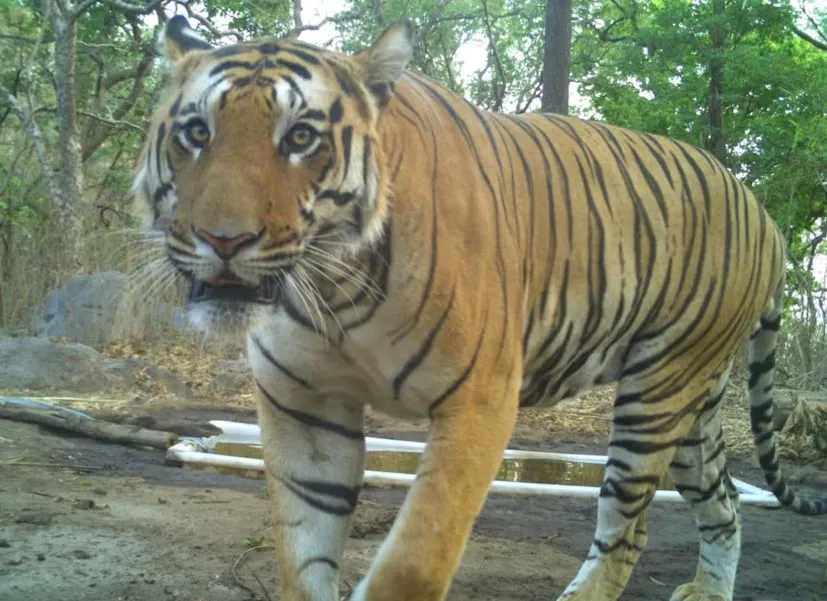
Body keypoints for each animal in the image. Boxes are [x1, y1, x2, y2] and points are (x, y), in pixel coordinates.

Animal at [131, 14, 827, 601]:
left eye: (300, 137)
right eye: (197, 133)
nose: (224, 240)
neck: (334, 292)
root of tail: (765, 215)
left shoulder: (479, 401)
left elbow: (414, 561)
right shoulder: (303, 403)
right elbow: (303, 557)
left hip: (658, 393)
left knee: (629, 528)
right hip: (695, 406)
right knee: (723, 504)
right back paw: (708, 590)